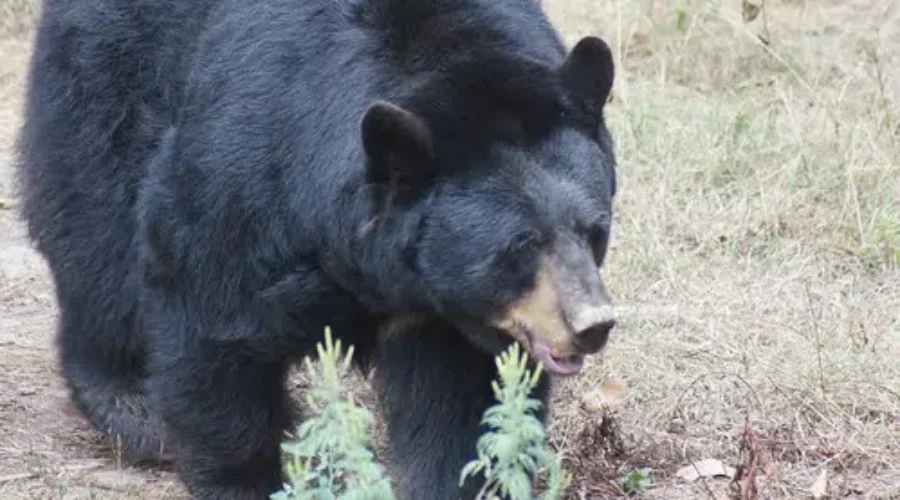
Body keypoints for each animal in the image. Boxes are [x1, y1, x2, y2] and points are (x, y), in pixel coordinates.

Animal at [17, 0, 618, 499]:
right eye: (523, 243)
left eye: (594, 230)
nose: (592, 325)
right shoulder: (251, 169)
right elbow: (210, 312)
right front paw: (248, 479)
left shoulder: (442, 311)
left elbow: (460, 400)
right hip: (109, 75)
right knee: (98, 230)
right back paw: (129, 404)